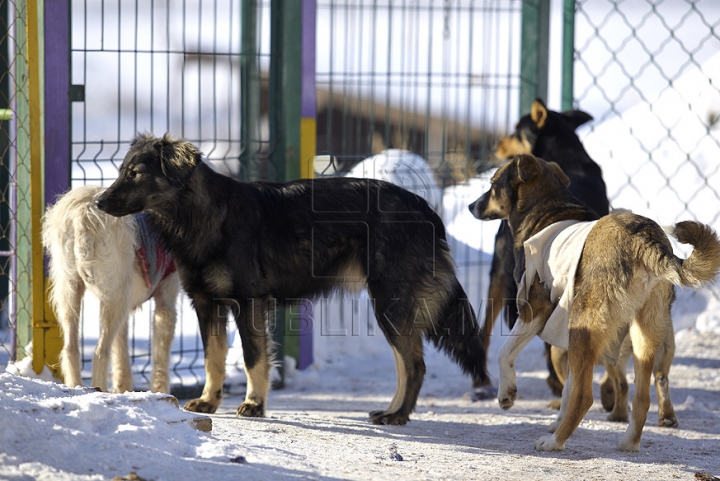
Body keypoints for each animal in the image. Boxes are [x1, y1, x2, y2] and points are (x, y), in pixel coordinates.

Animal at [43, 186, 179, 392]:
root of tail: (83, 213)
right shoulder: (166, 302)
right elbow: (160, 360)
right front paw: (159, 392)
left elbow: (121, 357)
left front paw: (123, 391)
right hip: (115, 298)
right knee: (100, 353)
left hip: (70, 289)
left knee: (71, 349)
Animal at [97, 132, 490, 424]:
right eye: (122, 170)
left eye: (136, 173)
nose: (99, 202)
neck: (201, 215)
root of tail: (426, 209)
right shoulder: (207, 304)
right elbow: (213, 357)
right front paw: (209, 402)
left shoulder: (249, 303)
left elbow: (254, 358)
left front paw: (255, 405)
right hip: (392, 308)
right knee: (405, 365)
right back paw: (392, 411)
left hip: (390, 304)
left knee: (414, 364)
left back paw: (398, 416)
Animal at [472, 155, 720, 450]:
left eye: (493, 184)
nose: (471, 206)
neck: (548, 207)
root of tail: (644, 241)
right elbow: (567, 387)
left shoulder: (535, 309)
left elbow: (505, 352)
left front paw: (506, 394)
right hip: (643, 332)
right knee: (640, 397)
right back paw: (628, 443)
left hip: (584, 327)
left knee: (585, 397)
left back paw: (555, 442)